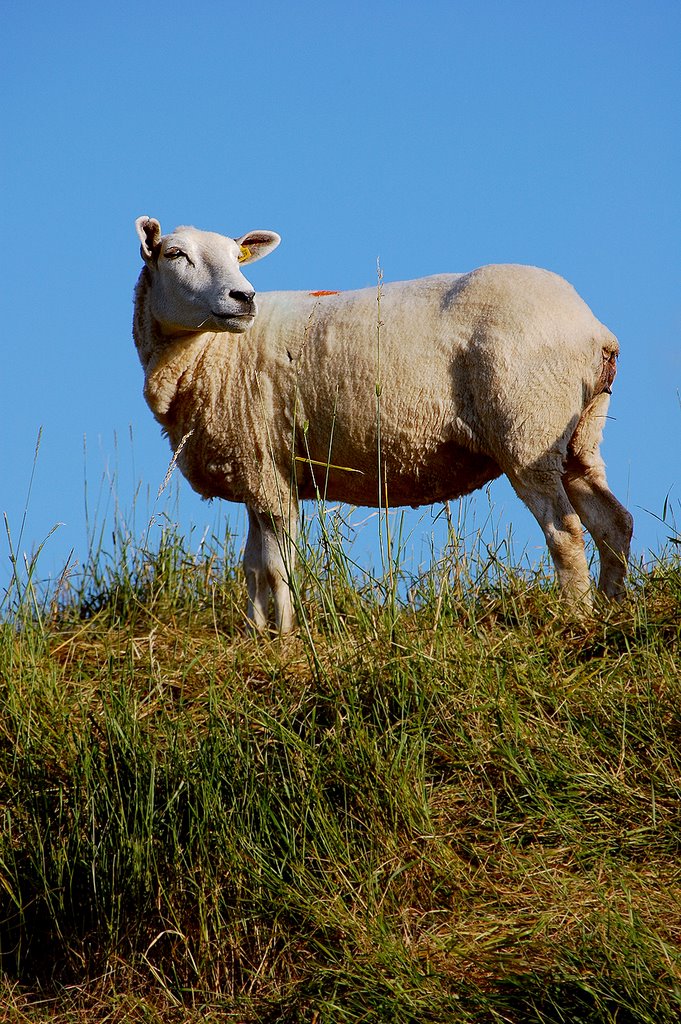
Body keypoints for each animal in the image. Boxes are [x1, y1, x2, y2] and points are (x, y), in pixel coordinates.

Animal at [133, 217, 630, 630]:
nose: (244, 298)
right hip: (578, 436)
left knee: (565, 531)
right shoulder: (260, 469)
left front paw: (285, 639)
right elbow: (253, 568)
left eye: (237, 257)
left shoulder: (266, 470)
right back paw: (613, 607)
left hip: (528, 429)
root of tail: (593, 329)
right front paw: (256, 634)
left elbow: (277, 567)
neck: (211, 352)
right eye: (174, 254)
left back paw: (575, 618)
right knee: (613, 521)